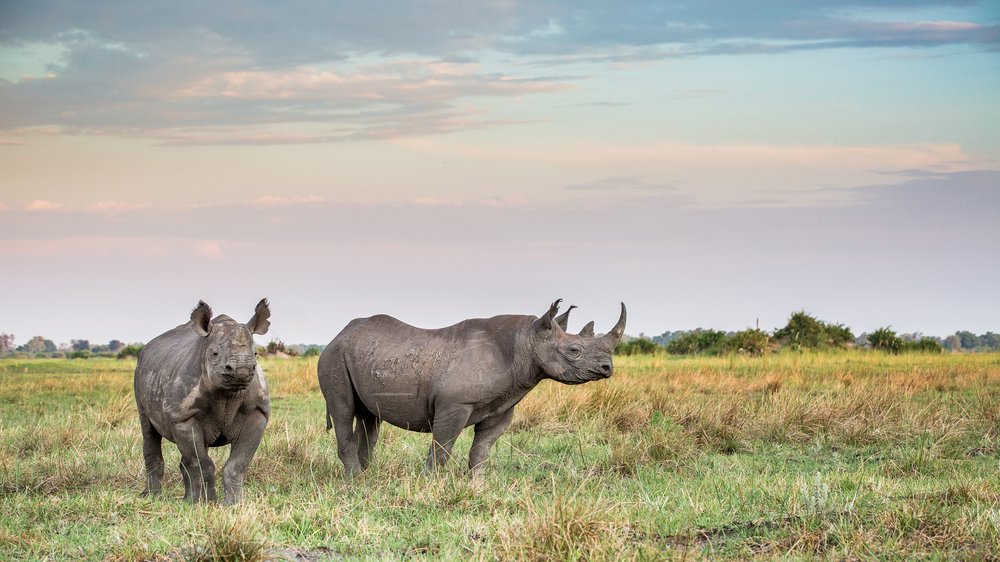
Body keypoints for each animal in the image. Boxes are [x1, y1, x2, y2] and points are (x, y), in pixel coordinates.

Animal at [136, 300, 274, 500]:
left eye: (256, 354)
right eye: (214, 354)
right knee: (148, 430)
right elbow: (202, 464)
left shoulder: (257, 413)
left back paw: (186, 500)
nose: (242, 370)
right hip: (140, 373)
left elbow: (237, 465)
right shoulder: (182, 417)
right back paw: (154, 497)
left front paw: (234, 503)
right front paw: (207, 503)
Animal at [318, 298, 624, 472]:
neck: (526, 341)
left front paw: (477, 485)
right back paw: (356, 482)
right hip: (333, 358)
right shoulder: (455, 405)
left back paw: (368, 477)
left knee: (369, 418)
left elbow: (481, 450)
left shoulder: (502, 405)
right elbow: (442, 449)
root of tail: (336, 336)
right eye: (574, 350)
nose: (607, 368)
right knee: (343, 410)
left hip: (357, 355)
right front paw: (431, 485)